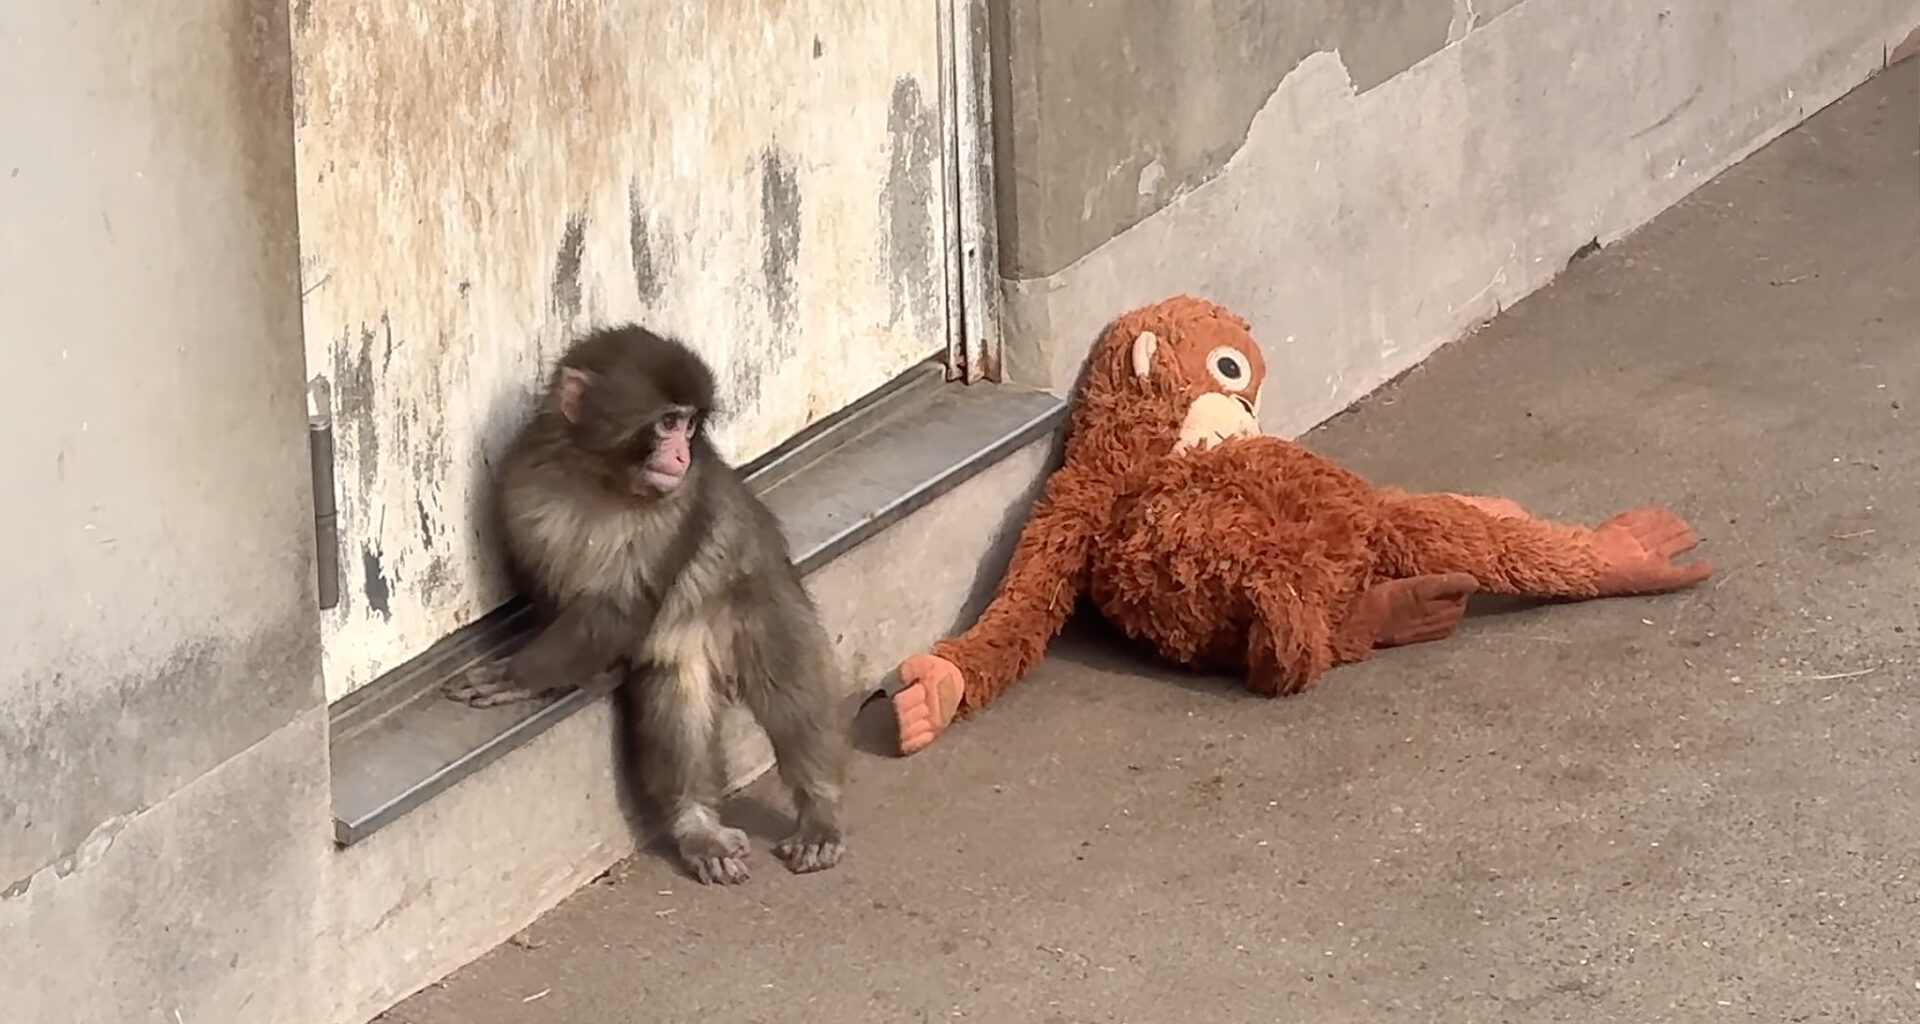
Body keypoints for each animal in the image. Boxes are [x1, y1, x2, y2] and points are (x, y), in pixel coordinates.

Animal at [442, 325, 850, 884]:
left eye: (689, 424)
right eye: (668, 422)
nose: (681, 455)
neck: (602, 481)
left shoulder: (680, 510)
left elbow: (623, 609)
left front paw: (519, 675)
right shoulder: (520, 487)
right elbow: (557, 597)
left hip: (764, 605)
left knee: (793, 689)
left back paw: (819, 812)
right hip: (685, 647)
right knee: (674, 696)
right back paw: (698, 826)